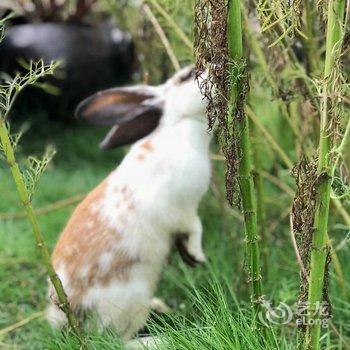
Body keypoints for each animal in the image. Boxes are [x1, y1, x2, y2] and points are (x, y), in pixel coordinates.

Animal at [45, 65, 212, 340]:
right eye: (188, 75)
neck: (180, 125)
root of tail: (69, 316)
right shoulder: (182, 212)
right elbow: (196, 228)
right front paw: (198, 257)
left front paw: (189, 256)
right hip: (130, 301)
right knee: (118, 340)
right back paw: (160, 340)